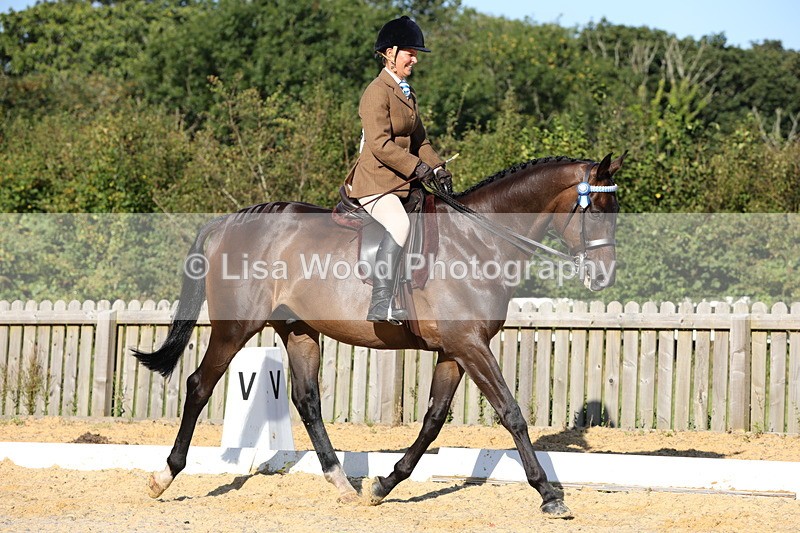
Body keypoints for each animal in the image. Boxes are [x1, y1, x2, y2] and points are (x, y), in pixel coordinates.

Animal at [133, 152, 625, 518]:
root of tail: (228, 223)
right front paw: (549, 494)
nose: (603, 278)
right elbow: (511, 413)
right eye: (597, 211)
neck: (478, 240)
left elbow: (432, 420)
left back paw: (343, 485)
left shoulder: (455, 351)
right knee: (199, 386)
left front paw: (385, 484)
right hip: (236, 327)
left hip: (299, 332)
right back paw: (163, 477)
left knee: (307, 401)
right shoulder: (470, 346)